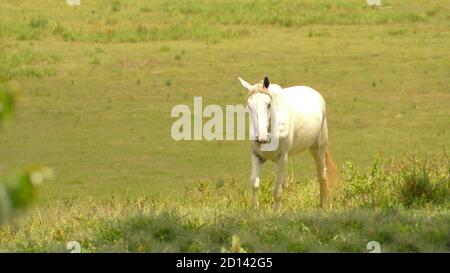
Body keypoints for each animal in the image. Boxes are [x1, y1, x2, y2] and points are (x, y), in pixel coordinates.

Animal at [239, 75, 338, 209]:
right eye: (249, 105)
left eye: (268, 104)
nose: (261, 138)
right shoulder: (257, 156)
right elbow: (254, 183)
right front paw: (255, 210)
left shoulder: (281, 158)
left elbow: (277, 191)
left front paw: (276, 212)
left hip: (318, 148)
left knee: (322, 175)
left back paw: (323, 206)